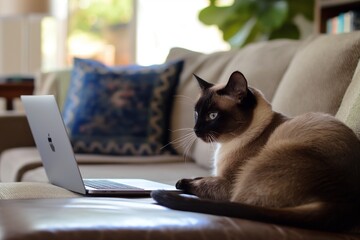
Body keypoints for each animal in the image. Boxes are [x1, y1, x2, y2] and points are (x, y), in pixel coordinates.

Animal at [150, 71, 360, 232]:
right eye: (196, 114)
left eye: (212, 115)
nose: (196, 130)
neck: (225, 145)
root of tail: (340, 202)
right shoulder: (218, 175)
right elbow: (201, 178)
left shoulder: (227, 183)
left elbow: (199, 183)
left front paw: (180, 183)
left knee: (236, 203)